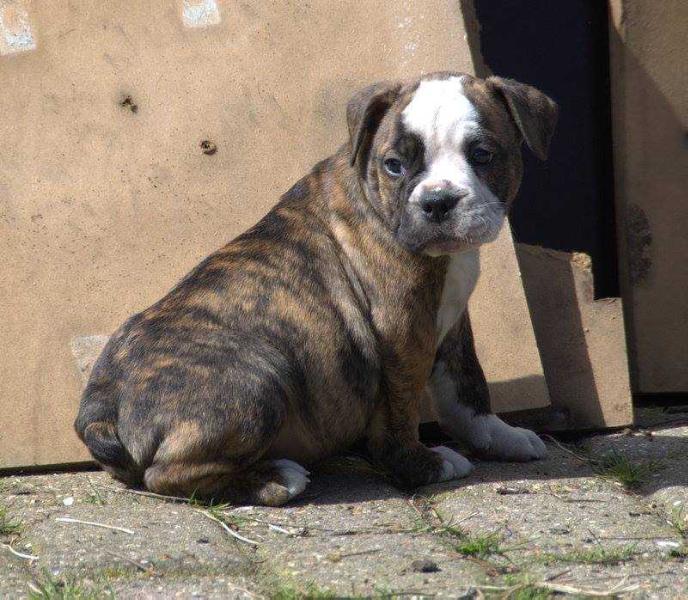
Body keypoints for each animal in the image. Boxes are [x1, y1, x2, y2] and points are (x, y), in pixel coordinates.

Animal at [75, 74, 556, 506]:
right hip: (259, 380)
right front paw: (421, 465)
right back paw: (272, 479)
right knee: (166, 474)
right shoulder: (401, 334)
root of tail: (103, 406)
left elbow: (466, 386)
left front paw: (500, 436)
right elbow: (401, 409)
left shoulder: (452, 322)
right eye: (394, 165)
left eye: (483, 155)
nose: (437, 202)